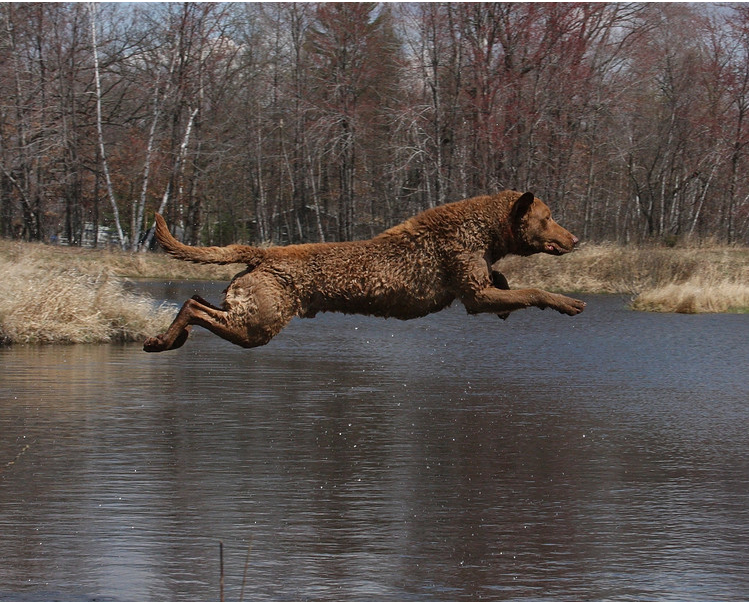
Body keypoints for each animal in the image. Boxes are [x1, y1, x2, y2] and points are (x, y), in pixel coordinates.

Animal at [144, 190, 585, 352]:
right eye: (548, 218)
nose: (576, 239)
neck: (481, 228)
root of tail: (263, 253)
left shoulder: (481, 286)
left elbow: (508, 286)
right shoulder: (474, 298)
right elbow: (533, 292)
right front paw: (566, 302)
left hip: (250, 311)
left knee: (196, 300)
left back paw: (167, 339)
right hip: (259, 324)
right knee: (194, 306)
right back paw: (162, 341)